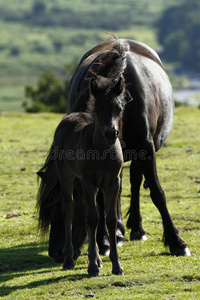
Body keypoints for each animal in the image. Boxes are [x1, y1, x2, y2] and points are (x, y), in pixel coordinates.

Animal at [37, 36, 191, 264]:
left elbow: (157, 193)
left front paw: (177, 242)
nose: (56, 253)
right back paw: (117, 232)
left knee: (135, 181)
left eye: (68, 206)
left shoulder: (146, 150)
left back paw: (136, 228)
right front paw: (104, 242)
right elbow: (101, 202)